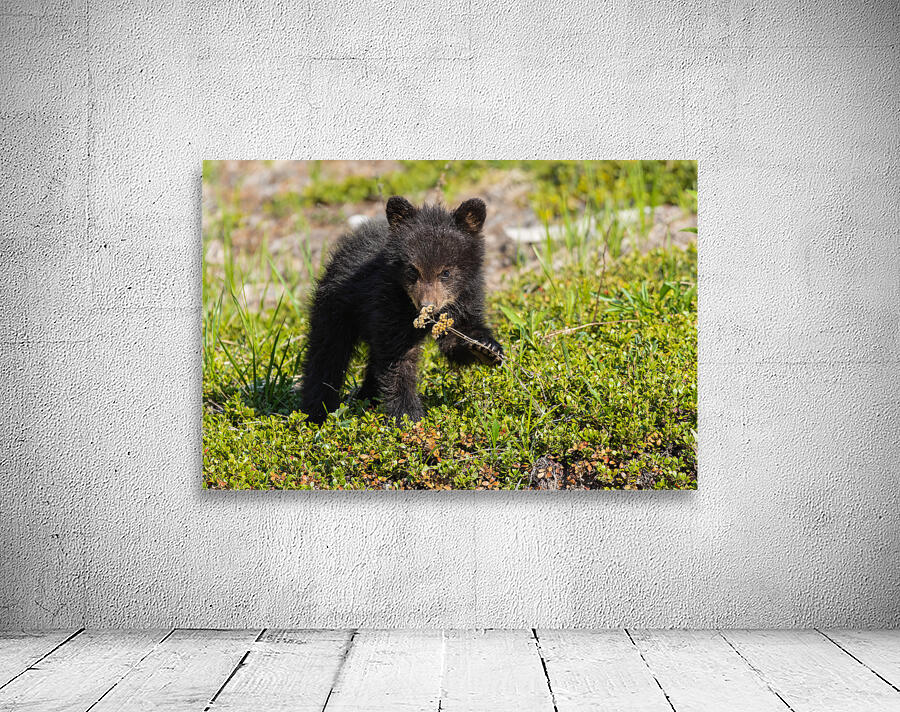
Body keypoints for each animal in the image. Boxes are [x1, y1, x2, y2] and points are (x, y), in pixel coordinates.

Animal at [299, 195, 504, 425]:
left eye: (446, 272)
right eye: (413, 270)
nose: (426, 306)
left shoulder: (465, 298)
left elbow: (455, 338)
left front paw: (485, 348)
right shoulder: (388, 303)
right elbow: (398, 361)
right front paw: (409, 416)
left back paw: (367, 398)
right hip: (336, 307)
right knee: (327, 354)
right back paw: (317, 413)